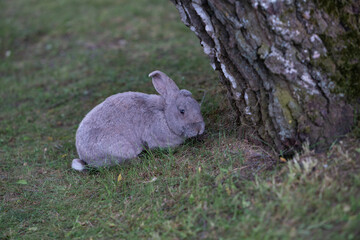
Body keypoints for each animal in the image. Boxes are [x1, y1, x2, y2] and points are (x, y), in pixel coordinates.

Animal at [71, 70, 205, 171]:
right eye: (182, 111)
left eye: (197, 105)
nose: (199, 129)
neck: (164, 115)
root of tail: (85, 158)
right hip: (121, 148)